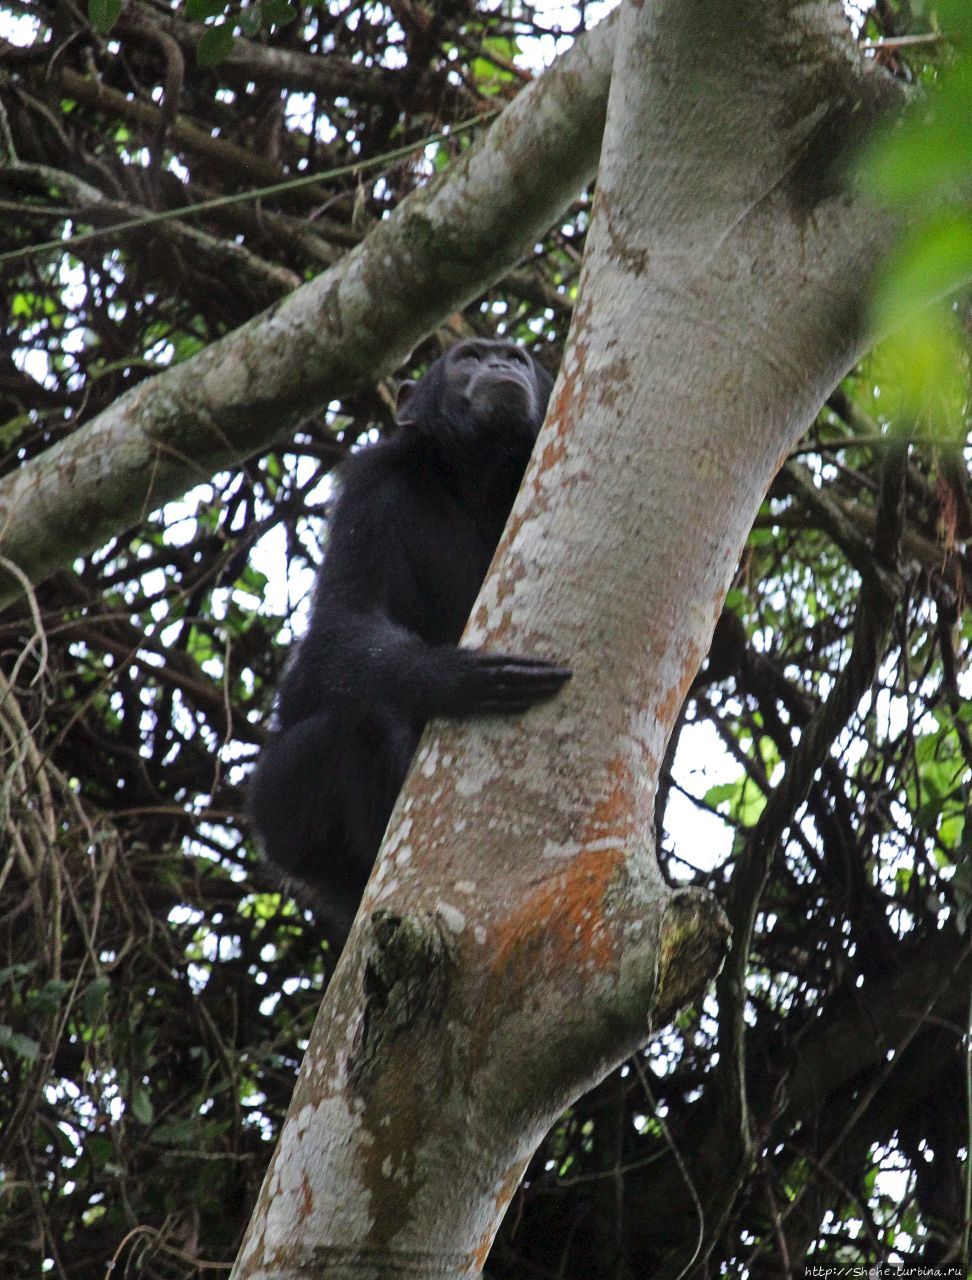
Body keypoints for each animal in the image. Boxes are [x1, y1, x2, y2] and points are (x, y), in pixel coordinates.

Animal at [247, 337, 573, 942]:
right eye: (469, 356)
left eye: (514, 355)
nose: (501, 363)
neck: (473, 477)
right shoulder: (373, 483)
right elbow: (341, 622)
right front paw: (452, 677)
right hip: (276, 813)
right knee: (364, 716)